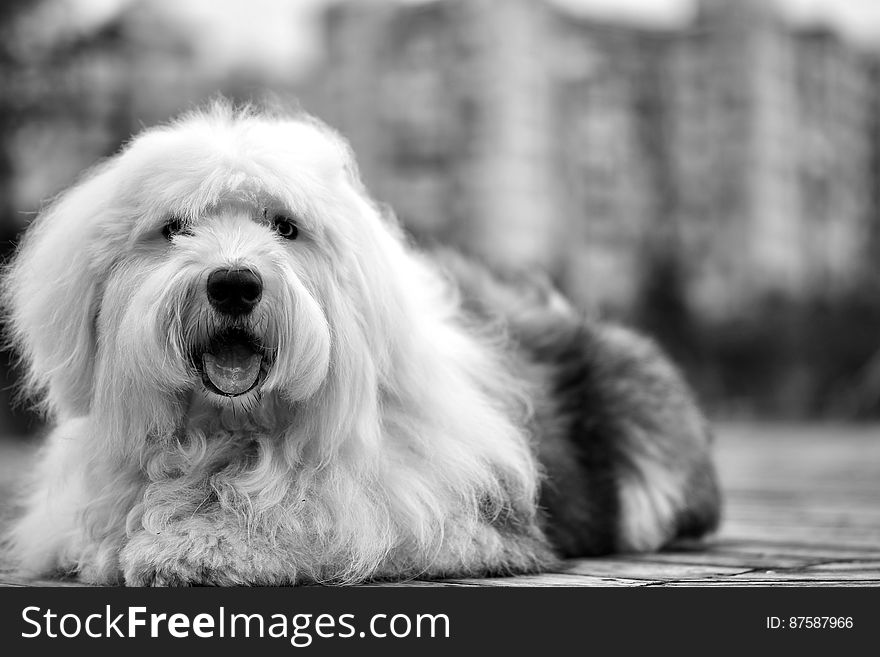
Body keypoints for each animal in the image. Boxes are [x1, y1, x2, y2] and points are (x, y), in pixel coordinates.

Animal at [1, 102, 720, 584]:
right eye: (174, 227)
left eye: (285, 226)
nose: (233, 283)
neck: (232, 428)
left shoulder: (441, 515)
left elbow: (312, 520)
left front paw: (198, 546)